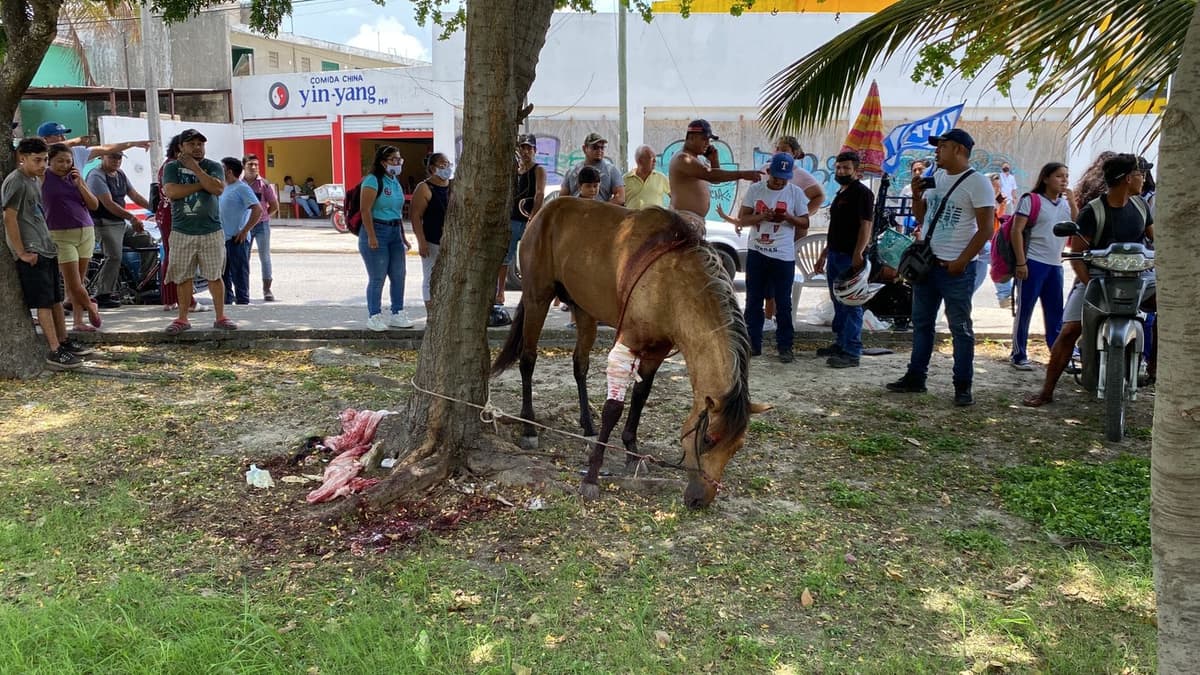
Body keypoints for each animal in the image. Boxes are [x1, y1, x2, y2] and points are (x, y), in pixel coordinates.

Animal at [490, 197, 768, 509]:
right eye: (708, 439)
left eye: (738, 447)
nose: (700, 500)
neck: (671, 282)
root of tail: (544, 210)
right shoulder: (628, 342)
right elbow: (614, 407)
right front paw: (592, 477)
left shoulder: (657, 350)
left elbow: (640, 397)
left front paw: (631, 451)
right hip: (537, 298)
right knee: (528, 360)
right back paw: (529, 426)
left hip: (584, 309)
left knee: (580, 365)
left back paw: (588, 427)